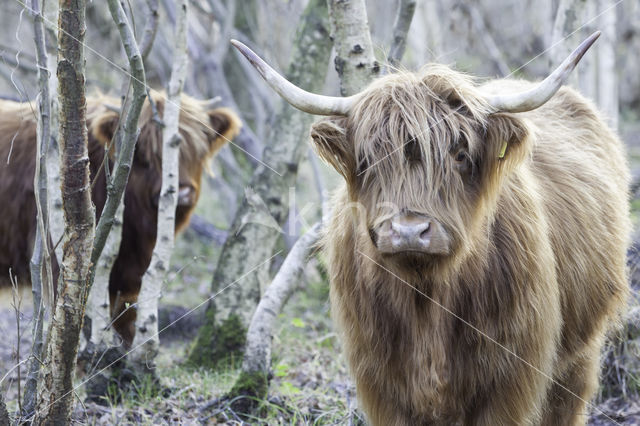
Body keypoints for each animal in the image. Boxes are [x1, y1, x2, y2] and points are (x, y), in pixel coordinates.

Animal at [234, 30, 632, 426]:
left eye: (460, 155)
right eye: (368, 159)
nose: (409, 231)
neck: (427, 298)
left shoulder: (507, 380)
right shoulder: (381, 382)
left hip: (580, 353)